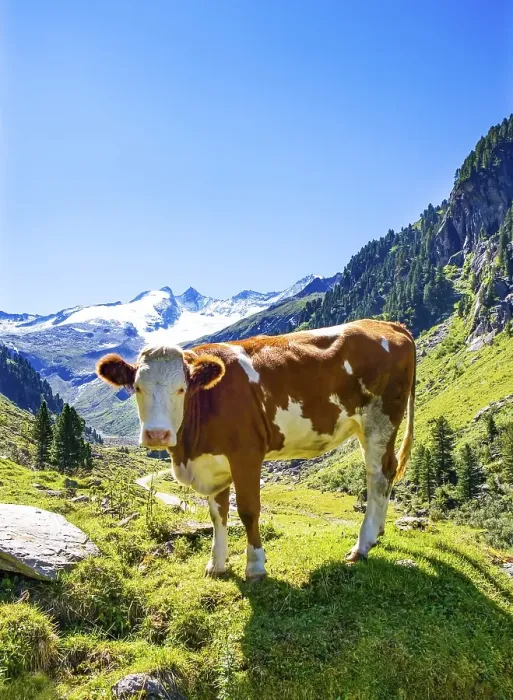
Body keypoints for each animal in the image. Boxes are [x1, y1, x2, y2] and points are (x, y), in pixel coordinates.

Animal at [96, 319, 416, 581]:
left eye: (181, 389)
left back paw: (362, 545)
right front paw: (216, 565)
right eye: (137, 388)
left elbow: (248, 510)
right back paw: (378, 532)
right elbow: (218, 513)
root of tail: (388, 324)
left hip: (380, 419)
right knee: (386, 473)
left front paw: (255, 566)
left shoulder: (246, 455)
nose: (157, 434)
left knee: (378, 475)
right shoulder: (213, 463)